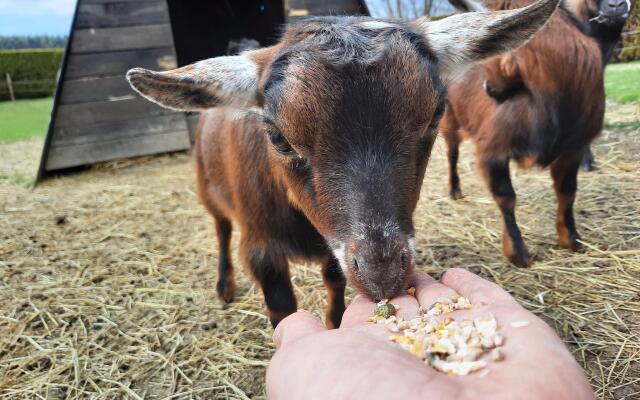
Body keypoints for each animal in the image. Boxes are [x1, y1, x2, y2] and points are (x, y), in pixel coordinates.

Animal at [127, 0, 556, 326]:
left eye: (436, 113)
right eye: (278, 136)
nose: (383, 275)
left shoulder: (333, 247)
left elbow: (335, 280)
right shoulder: (262, 249)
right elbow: (282, 308)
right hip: (208, 187)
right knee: (220, 228)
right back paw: (223, 286)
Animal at [440, 0, 604, 268]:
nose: (488, 89)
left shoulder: (574, 149)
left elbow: (567, 192)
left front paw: (571, 239)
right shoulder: (492, 149)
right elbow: (506, 196)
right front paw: (518, 252)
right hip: (450, 120)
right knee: (451, 154)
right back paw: (454, 190)